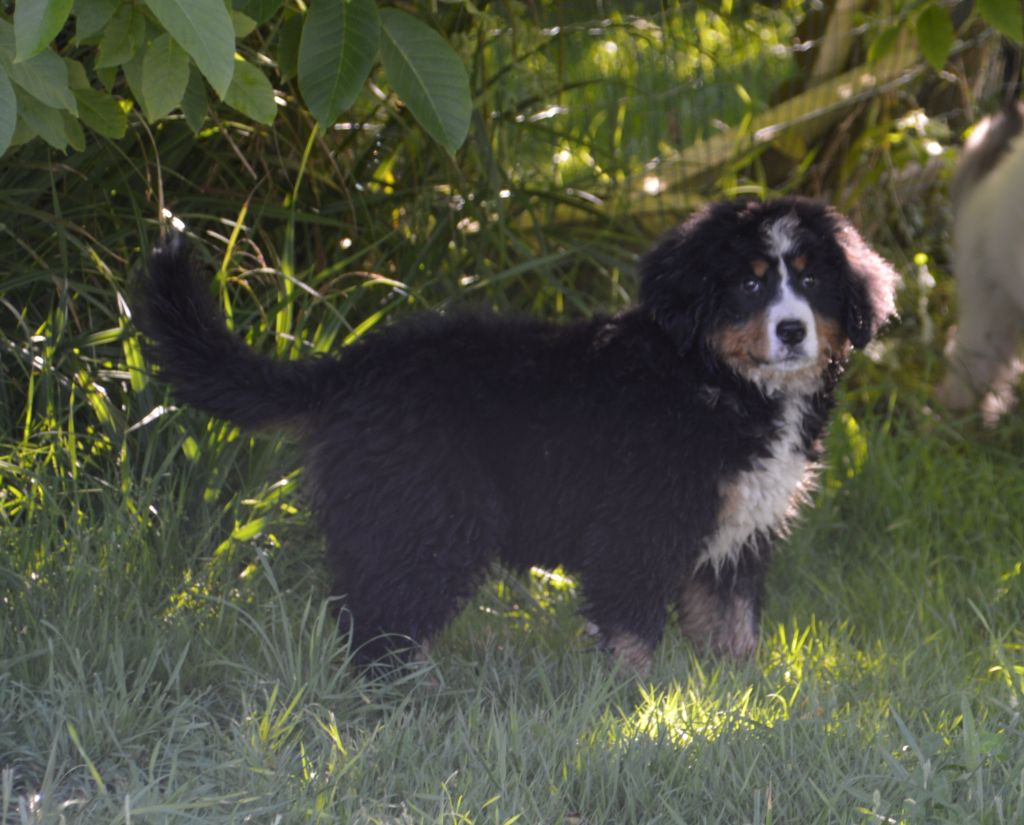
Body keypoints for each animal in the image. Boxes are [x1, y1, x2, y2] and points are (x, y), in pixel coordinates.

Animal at [136, 197, 897, 675]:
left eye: (813, 282)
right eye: (748, 284)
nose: (792, 330)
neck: (720, 381)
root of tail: (352, 367)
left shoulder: (739, 538)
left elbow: (734, 632)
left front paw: (736, 702)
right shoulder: (638, 528)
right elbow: (630, 634)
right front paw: (632, 711)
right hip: (430, 516)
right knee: (382, 619)